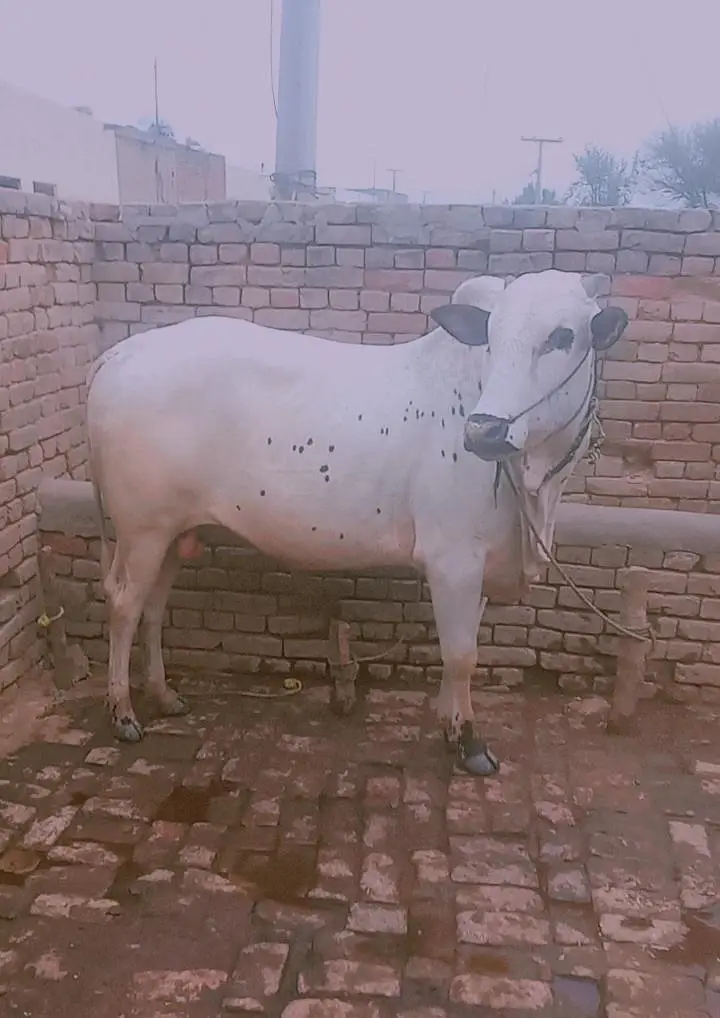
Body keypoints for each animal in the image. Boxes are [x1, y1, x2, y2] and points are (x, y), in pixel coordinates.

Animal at [85, 269, 627, 774]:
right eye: (490, 336)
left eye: (563, 335)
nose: (484, 431)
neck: (535, 484)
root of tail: (120, 353)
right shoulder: (452, 560)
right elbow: (461, 655)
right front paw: (471, 743)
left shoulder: (477, 562)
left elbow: (463, 647)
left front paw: (451, 726)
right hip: (142, 530)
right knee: (125, 603)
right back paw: (124, 713)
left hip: (172, 531)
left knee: (153, 608)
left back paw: (163, 695)